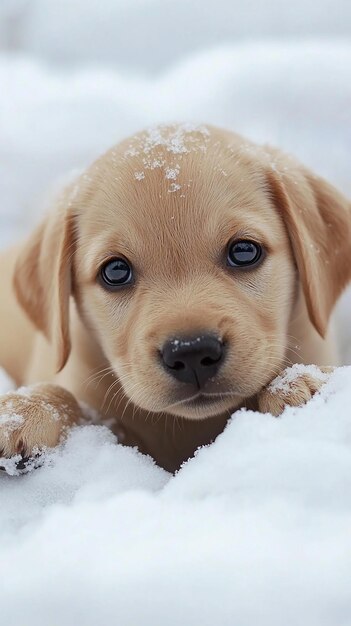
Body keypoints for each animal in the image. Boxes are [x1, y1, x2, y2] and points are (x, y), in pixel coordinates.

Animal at [0, 124, 351, 470]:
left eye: (244, 251)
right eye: (115, 271)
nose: (192, 352)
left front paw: (300, 385)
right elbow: (79, 406)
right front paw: (24, 410)